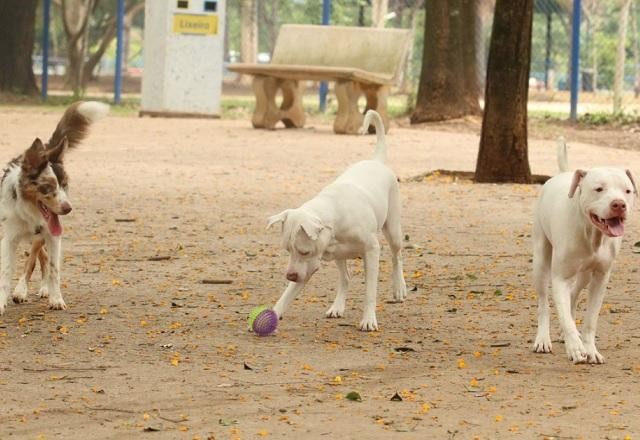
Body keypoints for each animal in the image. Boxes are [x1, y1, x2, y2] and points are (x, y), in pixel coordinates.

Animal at [266, 110, 408, 330]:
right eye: (288, 250)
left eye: (304, 251)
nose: (289, 276)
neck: (334, 215)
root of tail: (376, 161)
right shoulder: (307, 266)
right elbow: (287, 294)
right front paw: (272, 313)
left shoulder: (371, 251)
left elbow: (370, 291)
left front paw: (368, 319)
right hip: (339, 256)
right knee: (345, 278)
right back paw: (337, 307)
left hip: (393, 230)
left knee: (397, 256)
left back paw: (399, 287)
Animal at [532, 140, 636, 364]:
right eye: (599, 189)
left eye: (627, 191)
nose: (619, 204)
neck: (592, 234)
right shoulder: (560, 277)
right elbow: (563, 314)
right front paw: (575, 348)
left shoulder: (600, 278)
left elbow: (590, 320)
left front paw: (590, 349)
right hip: (541, 261)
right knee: (544, 303)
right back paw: (543, 339)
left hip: (585, 274)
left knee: (573, 295)